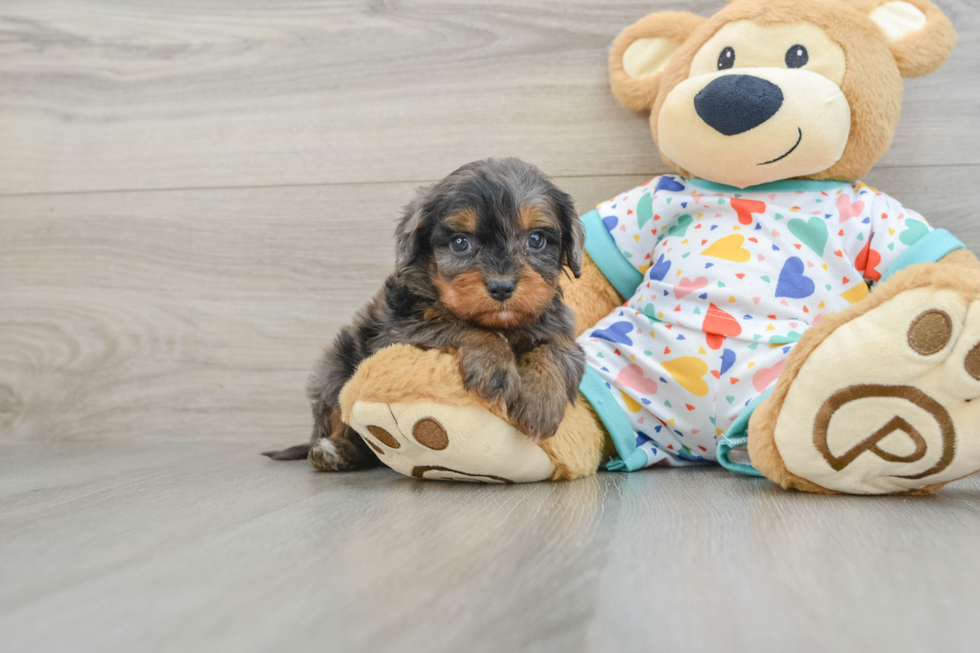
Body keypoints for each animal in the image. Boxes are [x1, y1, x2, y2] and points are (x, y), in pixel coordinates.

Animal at [264, 159, 584, 474]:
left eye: (536, 239)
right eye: (460, 243)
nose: (502, 286)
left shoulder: (559, 327)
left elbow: (556, 350)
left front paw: (541, 398)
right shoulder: (400, 330)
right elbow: (460, 326)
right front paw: (495, 365)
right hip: (334, 370)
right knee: (341, 421)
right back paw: (335, 450)